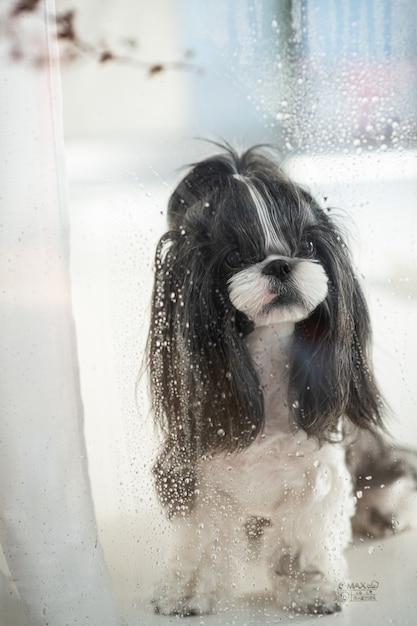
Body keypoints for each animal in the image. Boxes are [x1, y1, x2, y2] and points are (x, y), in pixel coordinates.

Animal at [146, 145, 416, 616]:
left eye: (306, 245)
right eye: (235, 256)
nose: (279, 265)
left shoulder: (318, 474)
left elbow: (301, 537)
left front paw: (311, 588)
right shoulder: (197, 477)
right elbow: (202, 539)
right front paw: (188, 591)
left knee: (395, 473)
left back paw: (385, 511)